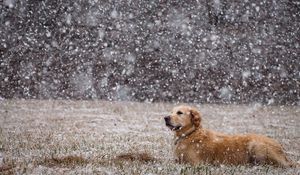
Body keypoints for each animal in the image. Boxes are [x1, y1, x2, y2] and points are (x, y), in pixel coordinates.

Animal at [164, 105, 298, 167]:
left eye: (179, 112)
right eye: (171, 112)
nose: (165, 117)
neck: (189, 134)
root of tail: (282, 149)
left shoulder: (195, 163)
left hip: (256, 146)